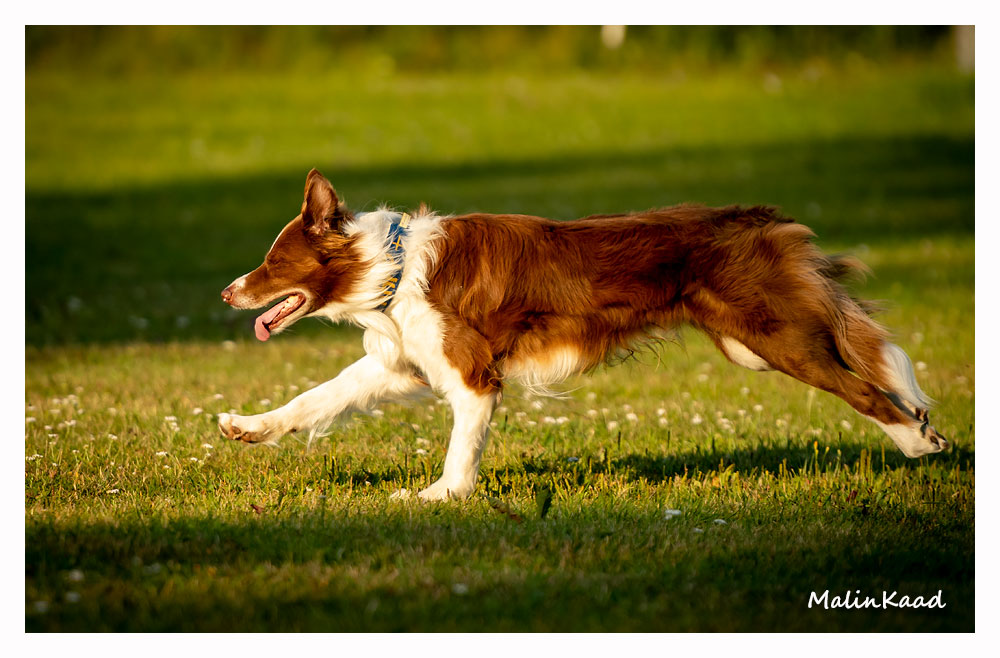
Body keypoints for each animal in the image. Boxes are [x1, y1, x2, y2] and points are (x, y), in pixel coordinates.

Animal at [218, 169, 947, 500]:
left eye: (271, 262)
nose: (228, 292)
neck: (393, 267)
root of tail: (759, 216)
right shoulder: (402, 363)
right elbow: (315, 398)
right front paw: (247, 426)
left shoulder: (475, 376)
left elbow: (460, 450)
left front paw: (439, 499)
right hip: (755, 346)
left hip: (774, 338)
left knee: (870, 391)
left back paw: (922, 442)